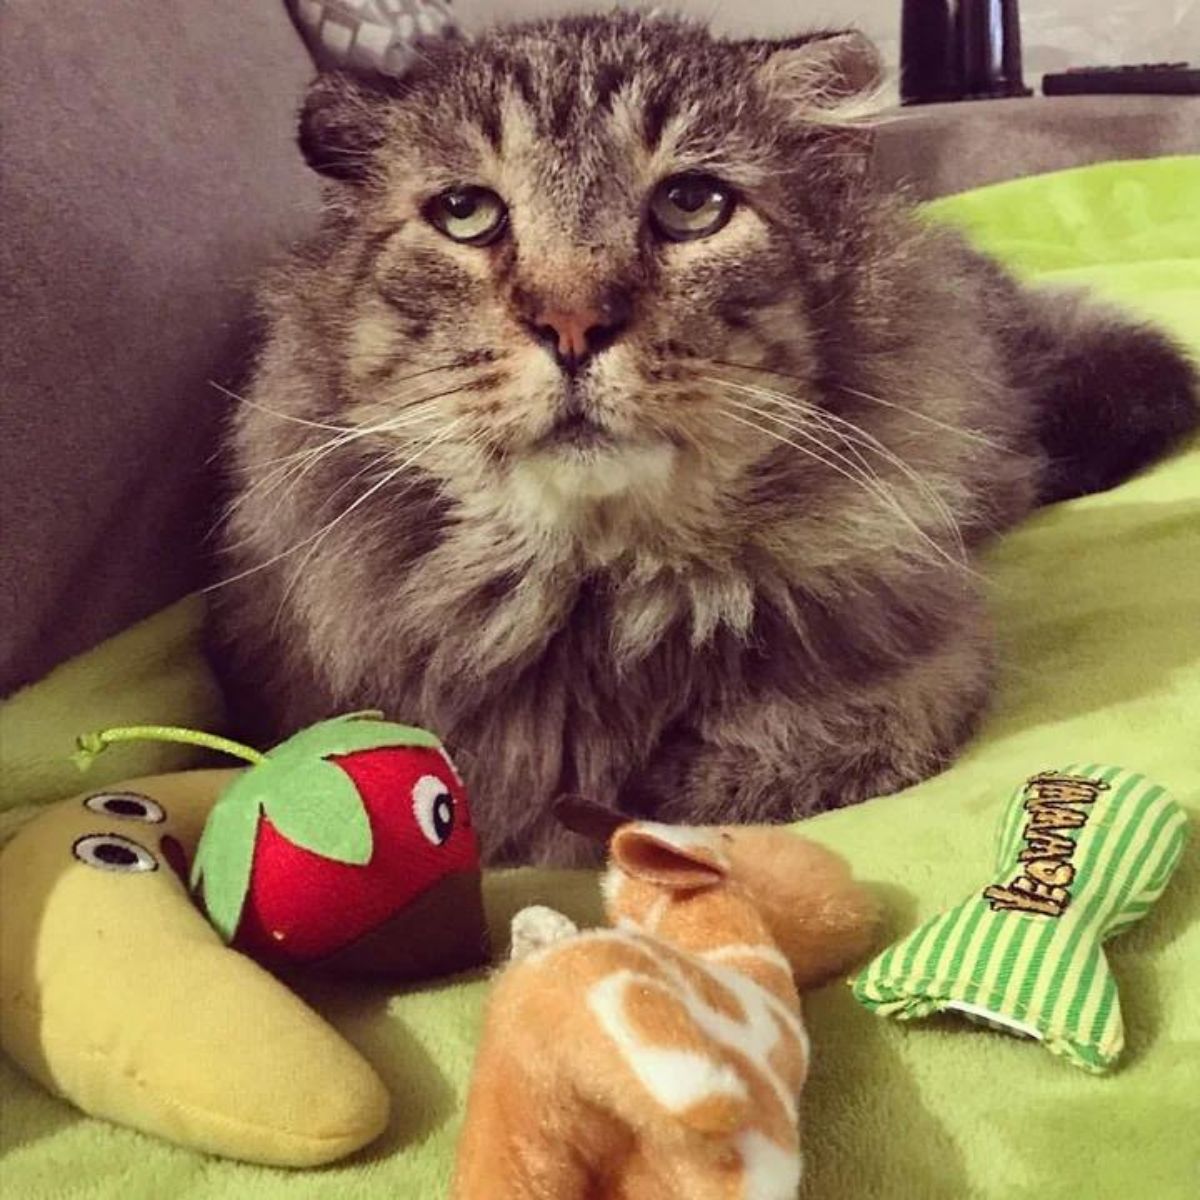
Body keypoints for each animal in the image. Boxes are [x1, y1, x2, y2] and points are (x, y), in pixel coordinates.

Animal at [211, 14, 1195, 868]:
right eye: (465, 213)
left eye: (691, 204)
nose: (573, 324)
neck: (600, 603)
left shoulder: (925, 670)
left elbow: (765, 770)